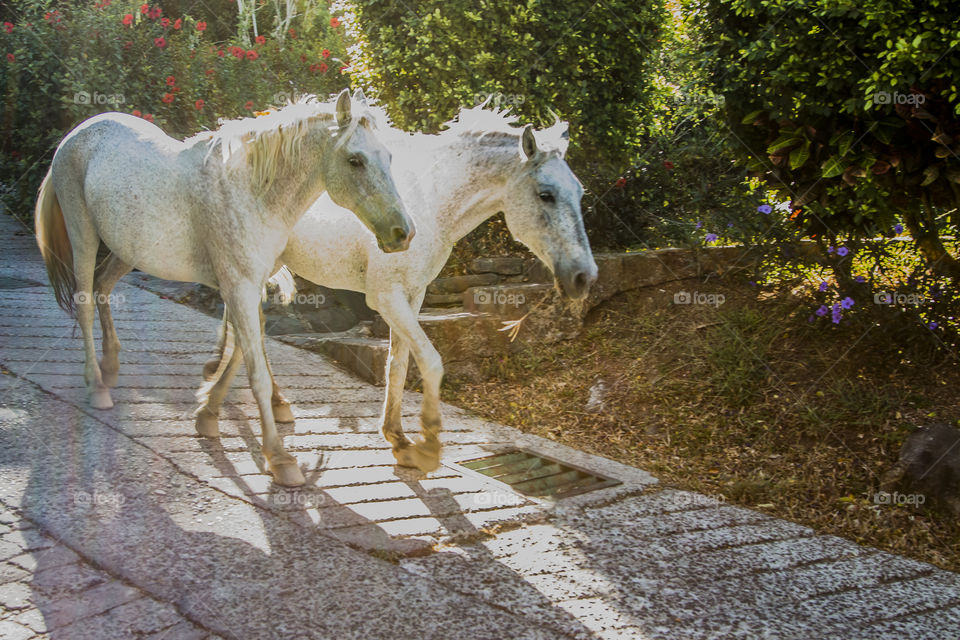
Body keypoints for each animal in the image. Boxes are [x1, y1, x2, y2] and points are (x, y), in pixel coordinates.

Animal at [35, 89, 414, 486]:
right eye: (355, 160)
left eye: (388, 157)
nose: (402, 233)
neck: (252, 193)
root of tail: (79, 132)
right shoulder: (239, 285)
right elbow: (253, 368)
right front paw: (278, 457)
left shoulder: (247, 284)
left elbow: (246, 345)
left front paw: (209, 412)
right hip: (83, 235)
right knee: (84, 302)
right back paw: (96, 385)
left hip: (126, 250)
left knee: (102, 288)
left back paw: (110, 366)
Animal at [195, 105, 598, 476]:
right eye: (545, 194)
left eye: (579, 192)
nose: (584, 276)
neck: (430, 204)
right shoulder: (387, 298)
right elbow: (430, 361)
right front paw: (428, 445)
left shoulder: (413, 296)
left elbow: (399, 365)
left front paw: (398, 438)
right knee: (246, 332)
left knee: (251, 333)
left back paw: (259, 405)